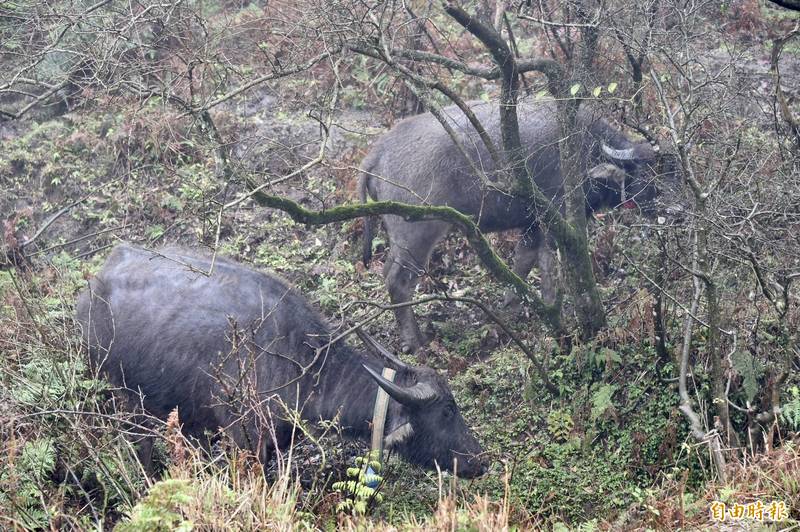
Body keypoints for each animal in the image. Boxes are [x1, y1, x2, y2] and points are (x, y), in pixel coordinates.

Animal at [76, 243, 488, 476]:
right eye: (447, 411)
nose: (478, 460)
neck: (297, 360)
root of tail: (98, 279)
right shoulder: (244, 438)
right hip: (127, 397)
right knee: (140, 446)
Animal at [360, 99, 664, 352]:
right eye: (649, 174)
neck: (584, 150)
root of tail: (378, 153)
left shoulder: (531, 224)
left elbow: (523, 260)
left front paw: (511, 304)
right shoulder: (555, 220)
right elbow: (549, 263)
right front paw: (552, 306)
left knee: (388, 273)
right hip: (418, 234)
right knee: (398, 281)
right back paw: (414, 342)